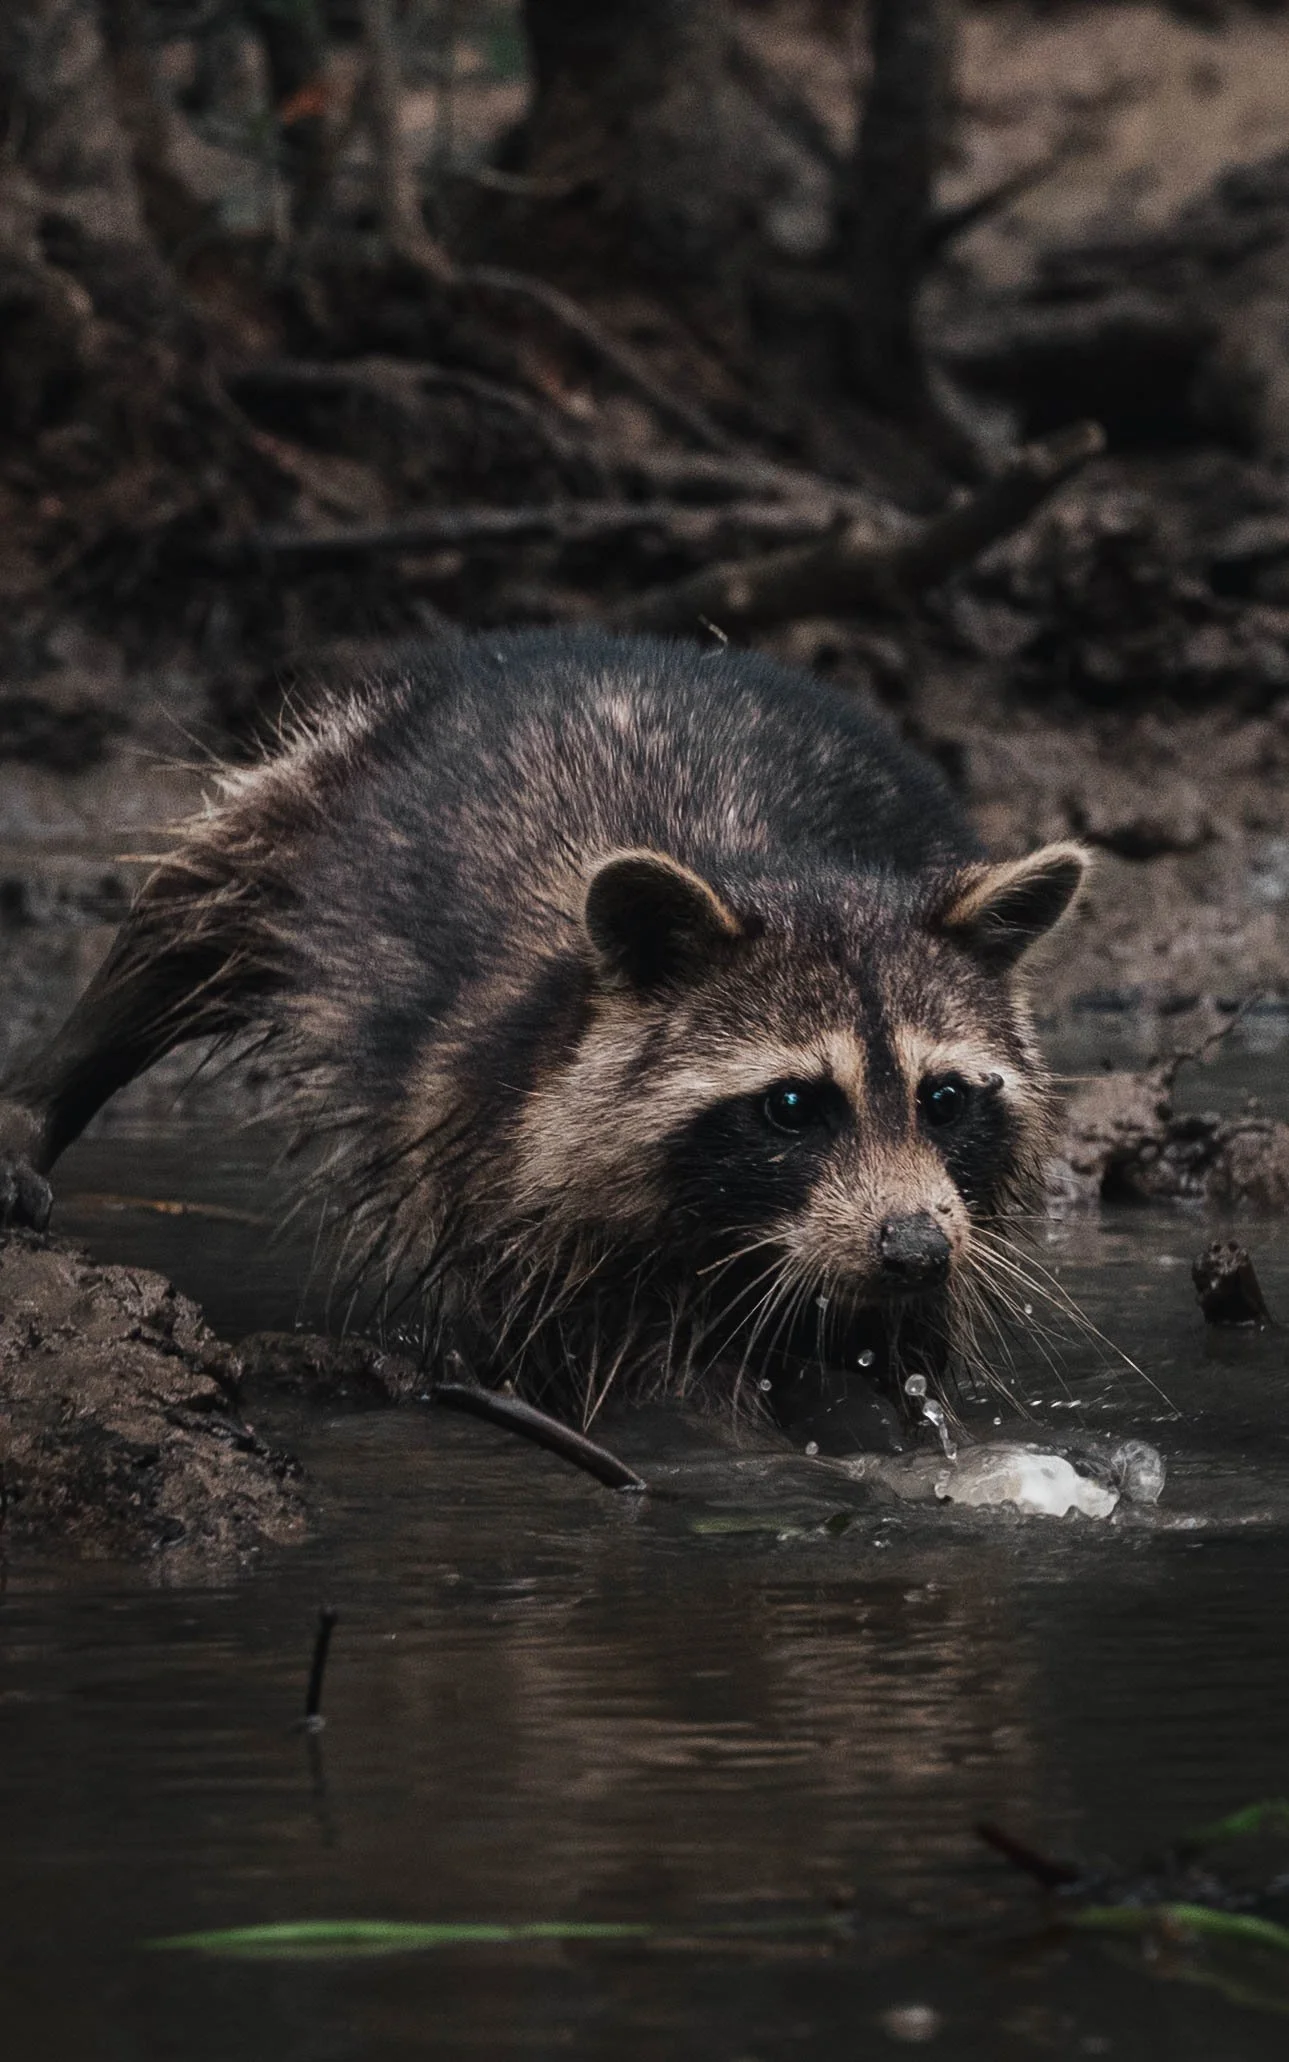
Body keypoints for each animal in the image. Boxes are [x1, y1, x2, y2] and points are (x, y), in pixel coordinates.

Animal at [0, 629, 1088, 1439]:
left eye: (941, 1098)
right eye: (790, 1105)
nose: (912, 1248)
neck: (773, 865)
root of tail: (631, 644)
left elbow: (893, 1358)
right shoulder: (518, 1184)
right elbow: (642, 1385)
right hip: (327, 790)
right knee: (195, 909)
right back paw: (53, 1085)